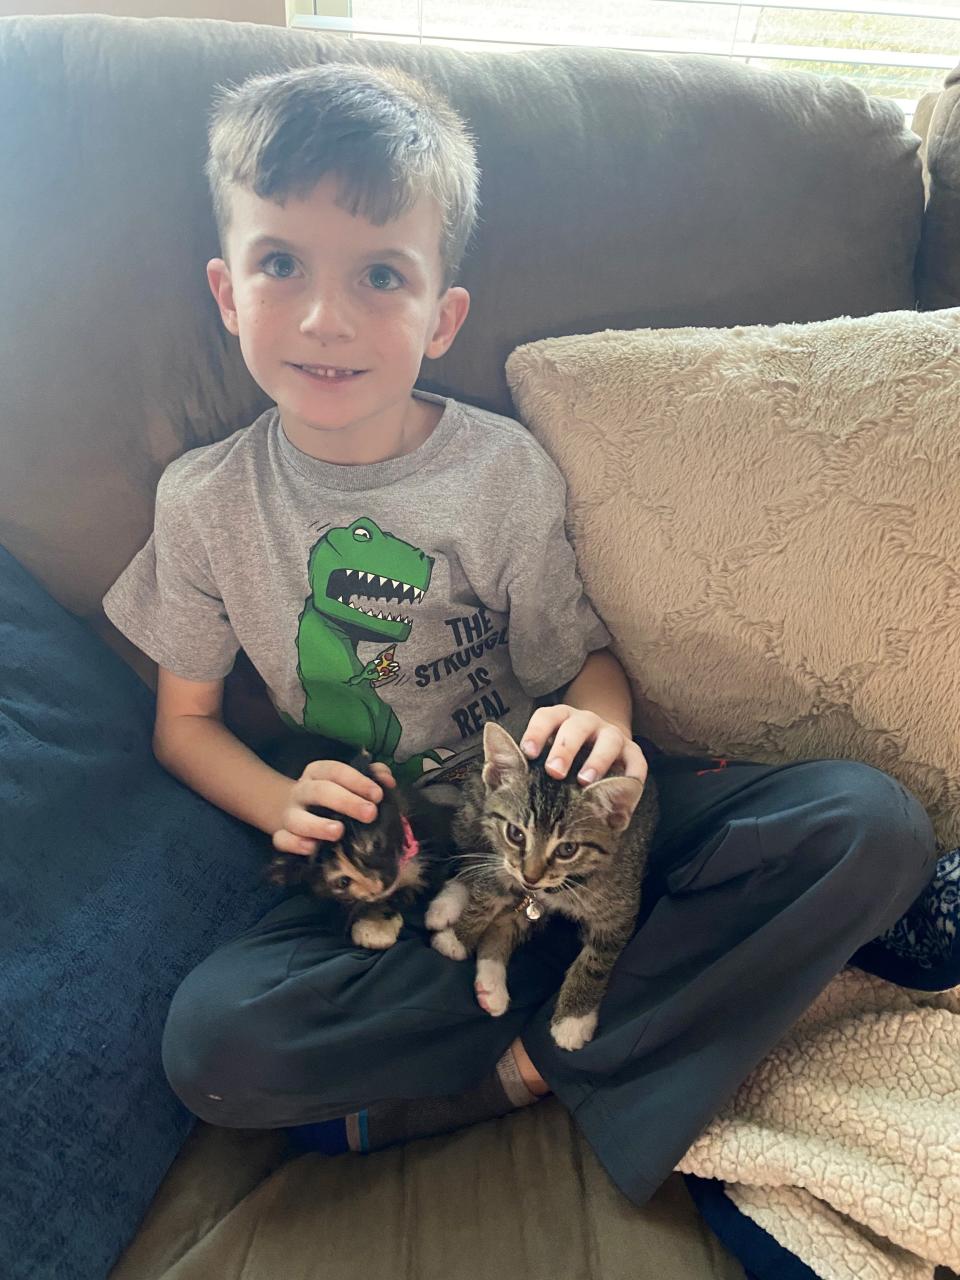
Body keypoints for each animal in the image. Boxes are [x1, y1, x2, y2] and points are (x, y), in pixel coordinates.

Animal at [430, 721, 660, 1049]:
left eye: (567, 849)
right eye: (515, 834)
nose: (531, 876)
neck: (561, 887)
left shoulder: (620, 904)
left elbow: (596, 960)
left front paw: (573, 1019)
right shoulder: (504, 862)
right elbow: (486, 896)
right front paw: (456, 938)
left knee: (505, 923)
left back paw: (491, 985)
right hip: (475, 809)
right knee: (472, 861)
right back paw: (446, 905)